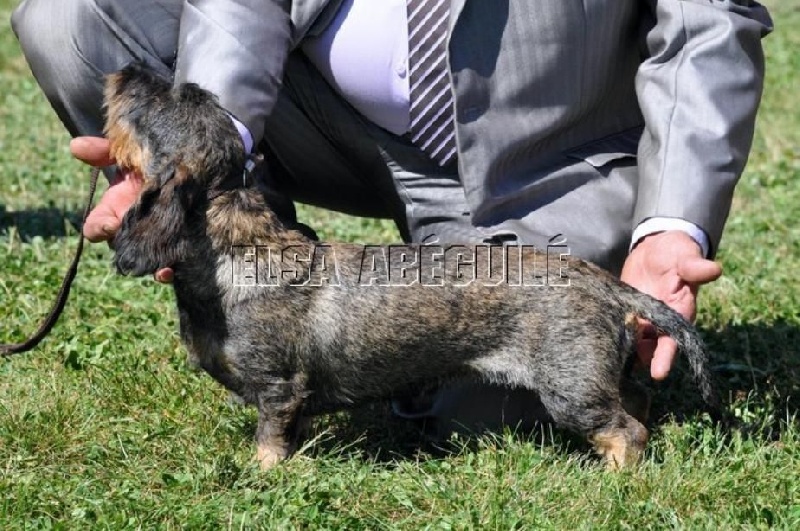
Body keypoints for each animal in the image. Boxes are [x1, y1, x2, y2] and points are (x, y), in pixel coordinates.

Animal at [106, 64, 720, 470]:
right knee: (638, 404)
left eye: (165, 97)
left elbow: (270, 446)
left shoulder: (278, 390)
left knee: (626, 432)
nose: (127, 70)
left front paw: (260, 479)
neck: (239, 248)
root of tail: (607, 284)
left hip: (570, 389)